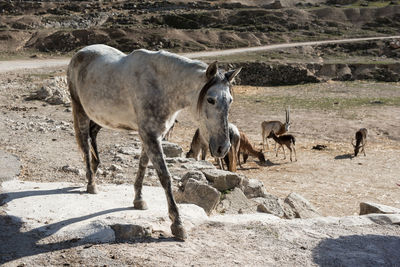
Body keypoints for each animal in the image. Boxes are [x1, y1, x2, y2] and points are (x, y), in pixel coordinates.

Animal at [67, 44, 241, 241]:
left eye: (230, 100)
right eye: (211, 100)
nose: (223, 148)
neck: (161, 86)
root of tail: (80, 53)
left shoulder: (151, 135)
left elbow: (143, 165)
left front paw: (138, 200)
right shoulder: (150, 135)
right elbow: (165, 177)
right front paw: (177, 224)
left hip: (99, 117)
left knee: (92, 135)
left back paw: (95, 171)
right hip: (80, 110)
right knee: (85, 143)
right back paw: (91, 183)